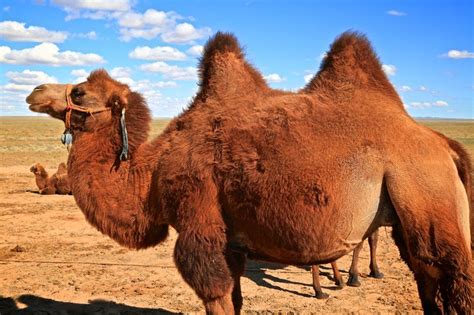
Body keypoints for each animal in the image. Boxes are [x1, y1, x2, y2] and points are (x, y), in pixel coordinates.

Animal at [25, 32, 470, 315]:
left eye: (80, 92)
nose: (33, 91)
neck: (151, 175)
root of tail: (442, 143)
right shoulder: (231, 241)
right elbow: (235, 298)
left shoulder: (198, 218)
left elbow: (216, 295)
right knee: (428, 279)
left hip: (426, 191)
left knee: (452, 283)